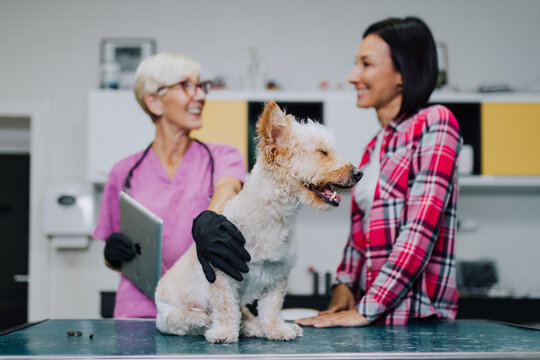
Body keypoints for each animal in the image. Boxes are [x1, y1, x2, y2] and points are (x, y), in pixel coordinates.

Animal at [154, 101, 360, 344]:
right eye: (322, 152)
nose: (359, 173)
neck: (274, 215)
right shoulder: (221, 275)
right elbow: (225, 308)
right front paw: (224, 332)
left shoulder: (277, 276)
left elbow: (271, 308)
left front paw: (276, 329)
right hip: (171, 316)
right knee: (186, 318)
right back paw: (204, 320)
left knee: (244, 313)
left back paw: (252, 327)